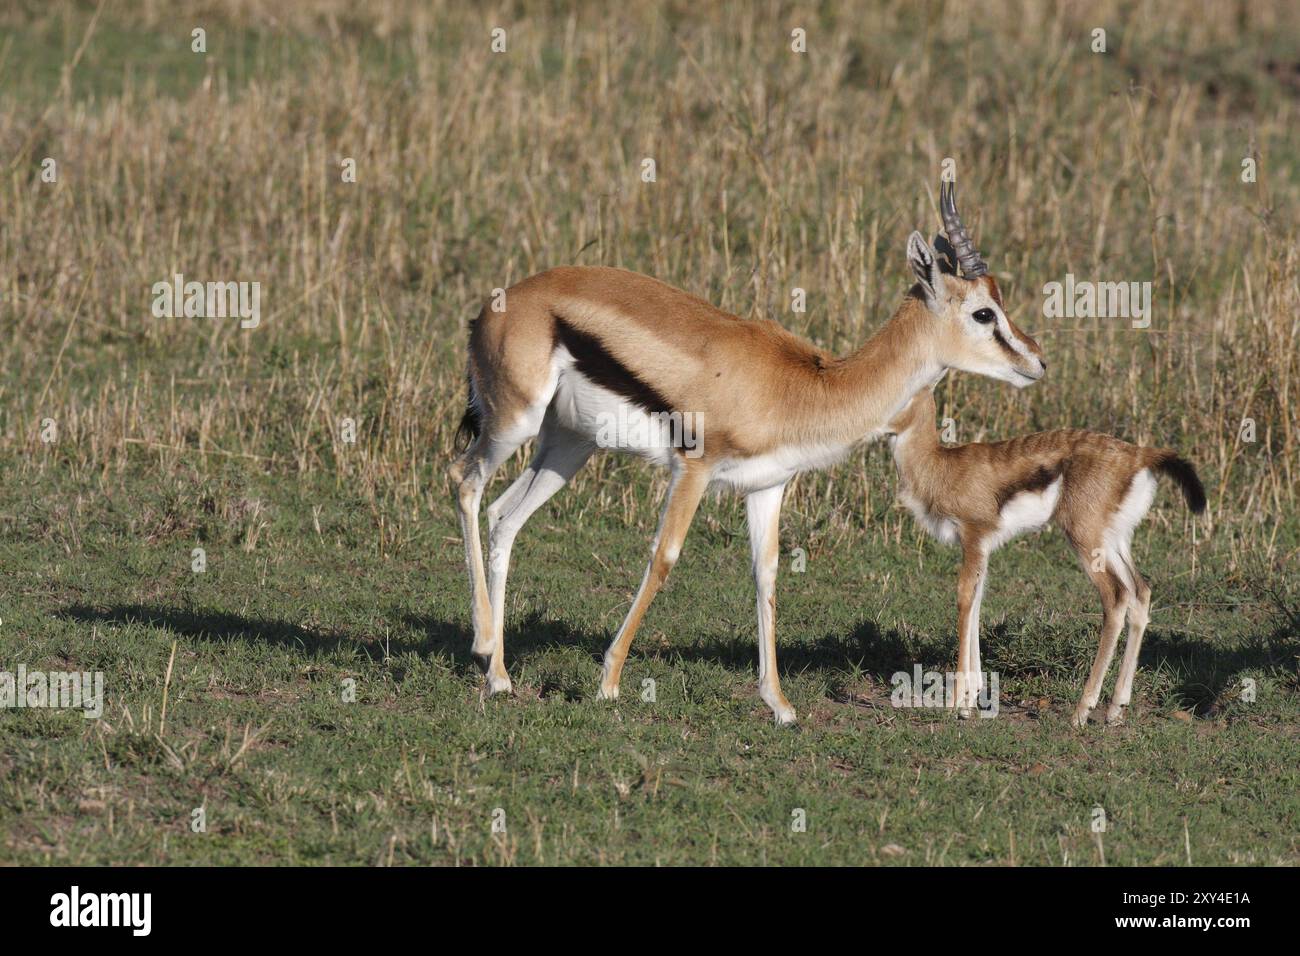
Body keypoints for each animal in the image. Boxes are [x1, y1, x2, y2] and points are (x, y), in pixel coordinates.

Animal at [448, 182, 1046, 724]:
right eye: (984, 313)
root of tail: (498, 303)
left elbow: (767, 574)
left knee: (504, 516)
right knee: (464, 479)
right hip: (515, 422)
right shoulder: (693, 469)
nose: (1037, 361)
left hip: (569, 447)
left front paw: (779, 705)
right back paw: (482, 643)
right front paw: (610, 683)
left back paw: (499, 676)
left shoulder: (766, 486)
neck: (803, 385)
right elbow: (664, 558)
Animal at [883, 385, 1206, 727]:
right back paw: (1115, 709)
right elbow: (977, 604)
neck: (942, 466)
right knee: (1140, 591)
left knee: (1117, 597)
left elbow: (964, 601)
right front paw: (970, 700)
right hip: (1114, 543)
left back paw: (1082, 711)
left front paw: (956, 703)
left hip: (1086, 543)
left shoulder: (973, 540)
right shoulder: (982, 549)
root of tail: (1138, 455)